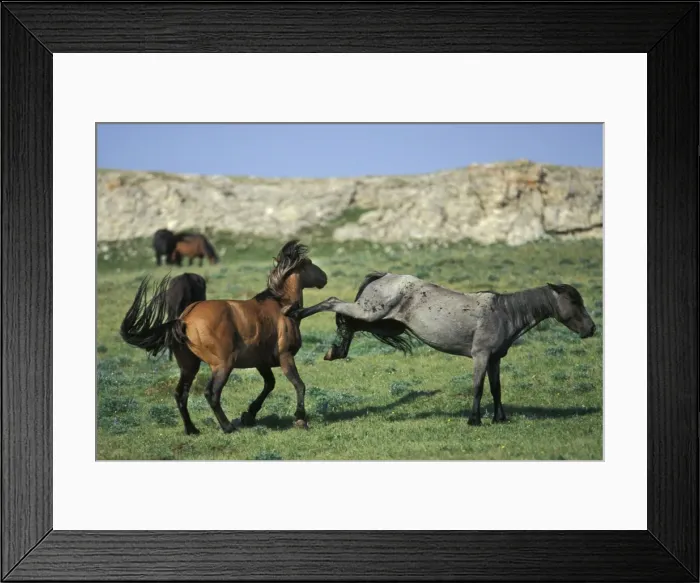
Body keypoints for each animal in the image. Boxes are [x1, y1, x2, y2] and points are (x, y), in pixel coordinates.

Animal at [120, 240, 328, 435]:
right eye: (310, 263)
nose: (324, 278)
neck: (282, 306)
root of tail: (183, 319)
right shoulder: (285, 357)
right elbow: (299, 385)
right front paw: (300, 419)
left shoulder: (261, 362)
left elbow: (269, 385)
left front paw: (249, 414)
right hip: (223, 365)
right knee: (211, 393)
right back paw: (227, 427)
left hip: (189, 366)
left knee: (181, 394)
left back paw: (192, 429)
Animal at [288, 273, 596, 426]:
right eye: (574, 301)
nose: (592, 329)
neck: (503, 312)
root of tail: (383, 276)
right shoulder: (481, 356)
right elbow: (478, 388)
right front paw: (474, 420)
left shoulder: (495, 358)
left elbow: (496, 388)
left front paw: (500, 418)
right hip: (370, 312)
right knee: (332, 302)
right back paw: (297, 313)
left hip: (383, 322)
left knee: (347, 321)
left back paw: (335, 350)